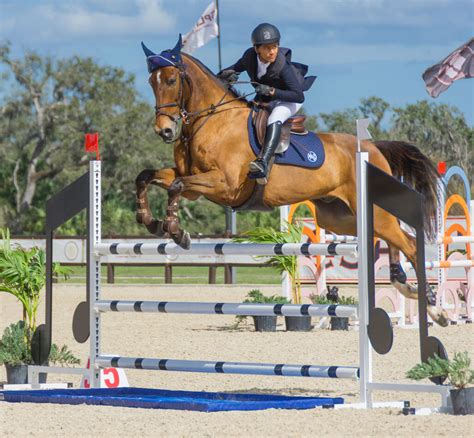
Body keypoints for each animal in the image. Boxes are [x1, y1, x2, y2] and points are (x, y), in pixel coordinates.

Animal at [136, 36, 448, 326]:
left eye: (172, 80)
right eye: (152, 82)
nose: (164, 130)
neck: (211, 120)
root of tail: (374, 148)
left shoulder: (224, 185)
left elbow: (176, 187)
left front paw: (176, 231)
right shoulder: (193, 183)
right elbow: (147, 177)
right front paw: (150, 221)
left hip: (368, 212)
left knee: (409, 243)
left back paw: (434, 307)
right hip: (339, 217)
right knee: (393, 237)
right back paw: (403, 284)